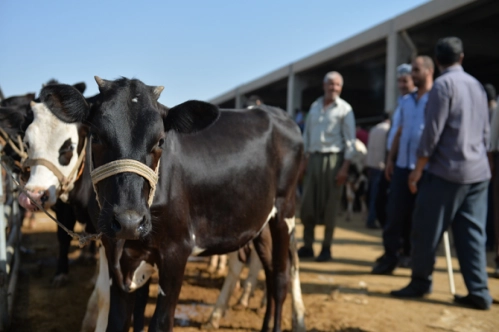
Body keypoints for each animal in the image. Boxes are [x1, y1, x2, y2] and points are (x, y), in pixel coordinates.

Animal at [43, 76, 306, 332]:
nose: (129, 221)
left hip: (285, 211)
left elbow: (160, 323)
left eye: (160, 141)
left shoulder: (176, 251)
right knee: (270, 270)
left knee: (281, 277)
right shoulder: (116, 251)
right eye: (96, 137)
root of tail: (275, 112)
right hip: (259, 221)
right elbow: (118, 320)